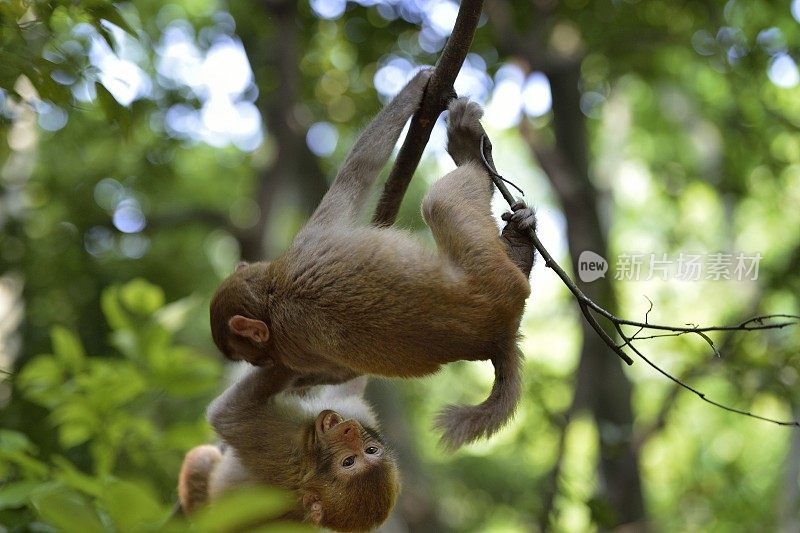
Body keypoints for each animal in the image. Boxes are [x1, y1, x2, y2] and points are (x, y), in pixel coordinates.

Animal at [177, 370, 396, 532]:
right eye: (371, 450)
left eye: (348, 462)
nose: (349, 431)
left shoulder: (282, 443)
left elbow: (225, 412)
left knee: (201, 457)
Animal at [211, 68, 536, 446]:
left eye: (246, 354)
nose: (258, 364)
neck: (271, 295)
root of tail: (498, 336)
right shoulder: (294, 342)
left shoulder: (306, 244)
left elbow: (358, 170)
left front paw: (417, 84)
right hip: (492, 273)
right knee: (439, 202)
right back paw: (473, 161)